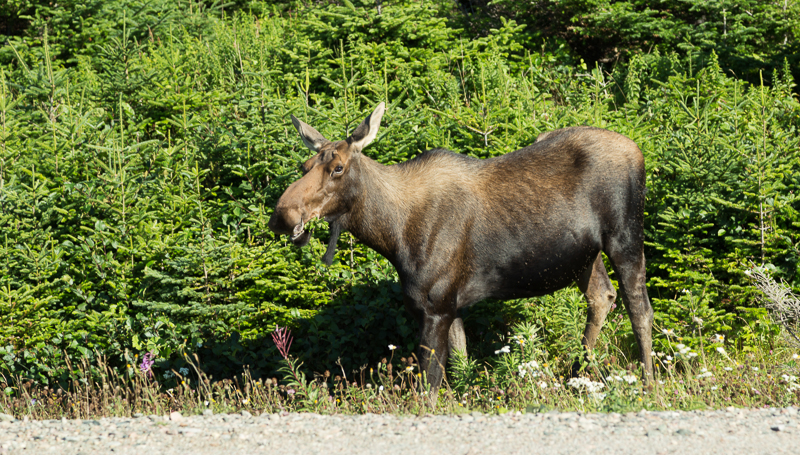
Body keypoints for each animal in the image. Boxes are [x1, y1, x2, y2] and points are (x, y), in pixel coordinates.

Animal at [268, 101, 656, 394]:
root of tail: (639, 150)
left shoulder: (435, 307)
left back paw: (648, 384)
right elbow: (460, 366)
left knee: (639, 308)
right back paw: (575, 376)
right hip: (584, 256)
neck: (392, 236)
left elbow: (429, 387)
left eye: (337, 168)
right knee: (602, 296)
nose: (283, 215)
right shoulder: (450, 305)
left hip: (625, 236)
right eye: (304, 165)